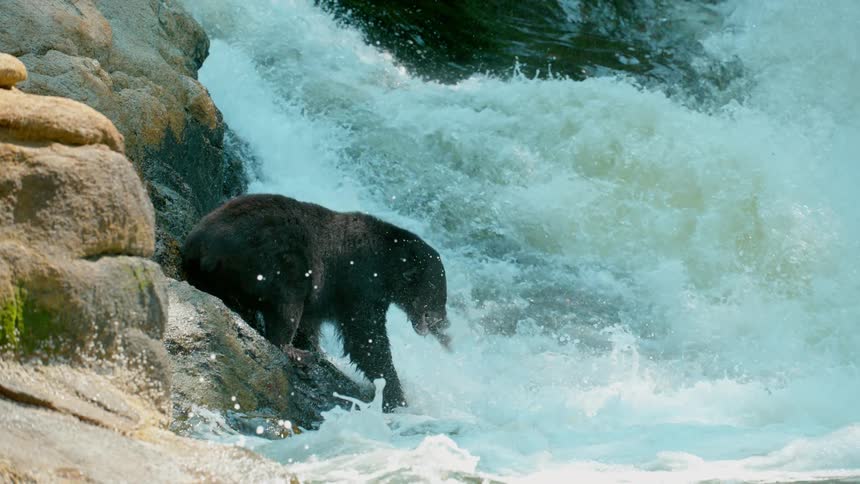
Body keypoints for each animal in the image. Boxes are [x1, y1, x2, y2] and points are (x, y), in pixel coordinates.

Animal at [181, 193, 451, 411]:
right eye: (438, 296)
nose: (443, 323)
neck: (387, 267)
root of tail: (202, 246)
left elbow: (315, 324)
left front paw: (317, 348)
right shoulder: (360, 284)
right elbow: (367, 339)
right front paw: (396, 393)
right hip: (275, 260)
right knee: (286, 303)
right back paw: (296, 352)